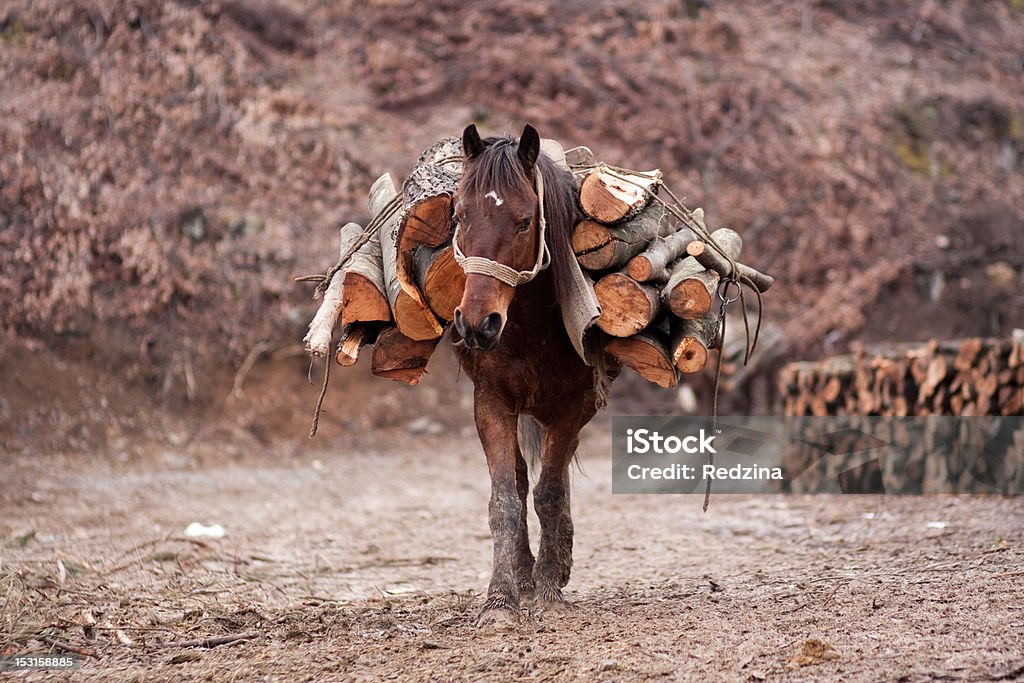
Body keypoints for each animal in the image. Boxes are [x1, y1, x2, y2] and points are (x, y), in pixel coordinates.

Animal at [450, 121, 606, 626]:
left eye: (523, 221)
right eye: (459, 216)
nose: (477, 324)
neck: (533, 326)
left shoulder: (575, 406)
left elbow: (550, 493)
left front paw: (550, 588)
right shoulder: (490, 403)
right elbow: (506, 498)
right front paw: (501, 598)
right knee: (520, 480)